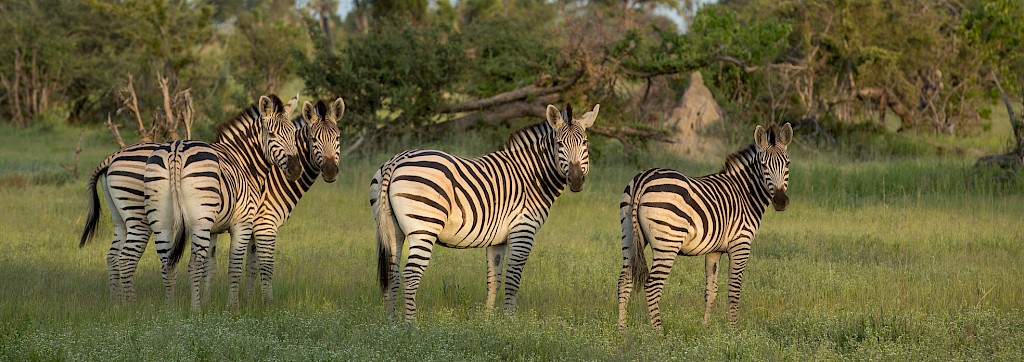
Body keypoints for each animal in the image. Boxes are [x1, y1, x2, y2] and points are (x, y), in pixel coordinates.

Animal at [370, 101, 598, 319]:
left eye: (584, 143)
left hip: (393, 229)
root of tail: (395, 161)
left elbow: (493, 280)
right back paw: (411, 326)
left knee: (391, 274)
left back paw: (392, 324)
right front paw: (510, 322)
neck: (531, 176)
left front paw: (487, 322)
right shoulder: (523, 231)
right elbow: (512, 280)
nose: (576, 180)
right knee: (410, 275)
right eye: (559, 144)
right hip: (424, 227)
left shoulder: (497, 239)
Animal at [614, 123, 790, 329]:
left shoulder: (714, 250)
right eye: (764, 166)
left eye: (787, 164)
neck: (744, 193)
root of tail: (643, 179)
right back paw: (658, 331)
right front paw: (733, 329)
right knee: (652, 286)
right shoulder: (741, 244)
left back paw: (622, 329)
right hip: (667, 242)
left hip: (630, 235)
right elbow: (734, 290)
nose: (781, 201)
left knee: (624, 280)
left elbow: (711, 290)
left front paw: (705, 326)